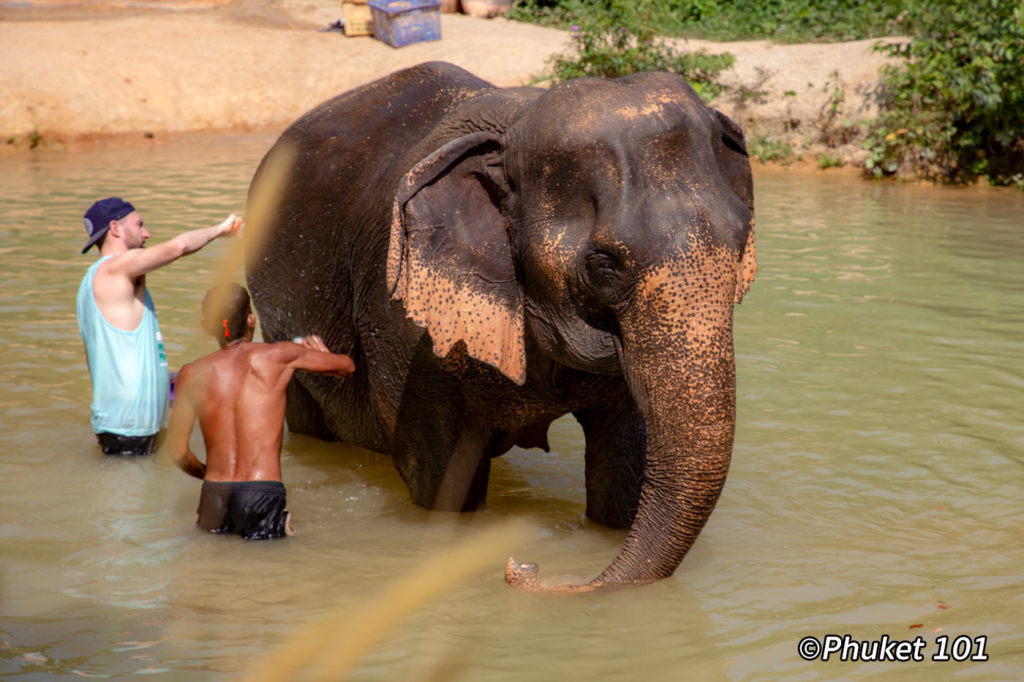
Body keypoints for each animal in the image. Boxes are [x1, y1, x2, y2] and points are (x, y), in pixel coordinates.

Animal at [245, 59, 761, 589]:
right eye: (605, 264)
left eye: (741, 238)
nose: (524, 567)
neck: (514, 129)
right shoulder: (404, 326)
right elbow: (442, 481)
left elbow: (623, 466)